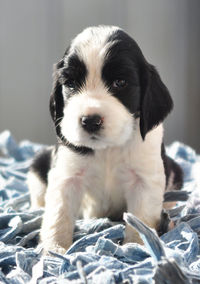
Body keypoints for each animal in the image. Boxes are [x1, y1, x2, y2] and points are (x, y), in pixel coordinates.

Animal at [27, 25, 183, 254]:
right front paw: (54, 250)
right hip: (39, 163)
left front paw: (136, 246)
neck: (108, 148)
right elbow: (59, 215)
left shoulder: (144, 180)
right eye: (70, 84)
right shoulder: (66, 175)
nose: (90, 121)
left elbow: (140, 219)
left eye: (120, 82)